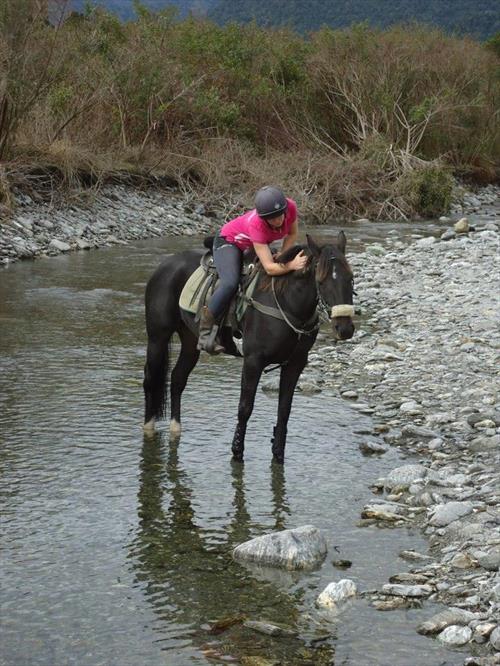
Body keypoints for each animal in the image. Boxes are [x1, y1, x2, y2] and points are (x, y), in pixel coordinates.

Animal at [143, 231, 355, 464]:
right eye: (321, 281)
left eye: (351, 278)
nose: (345, 328)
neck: (287, 302)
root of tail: (165, 265)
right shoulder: (253, 360)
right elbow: (245, 407)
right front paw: (237, 451)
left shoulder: (295, 363)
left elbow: (284, 409)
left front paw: (278, 454)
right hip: (158, 336)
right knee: (150, 378)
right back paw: (149, 427)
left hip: (190, 340)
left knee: (178, 378)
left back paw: (175, 428)